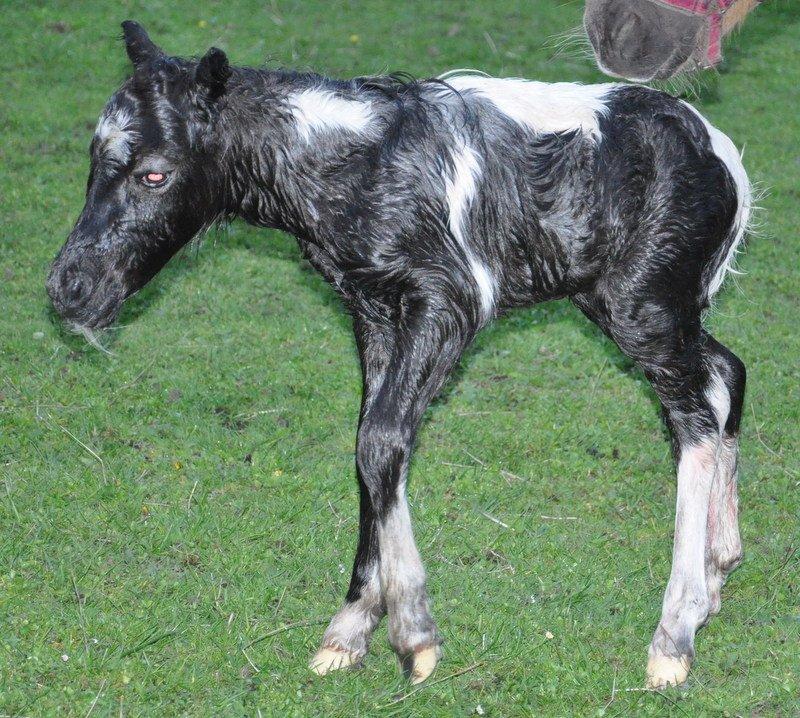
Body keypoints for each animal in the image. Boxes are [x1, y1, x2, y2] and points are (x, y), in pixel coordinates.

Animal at [48, 22, 752, 692]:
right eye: (93, 160)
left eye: (155, 173)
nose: (68, 289)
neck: (359, 166)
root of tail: (723, 155)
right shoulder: (373, 313)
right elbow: (369, 444)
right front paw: (349, 629)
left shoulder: (447, 304)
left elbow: (382, 440)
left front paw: (413, 634)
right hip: (632, 306)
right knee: (725, 375)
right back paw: (719, 568)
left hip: (643, 308)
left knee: (693, 423)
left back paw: (675, 632)